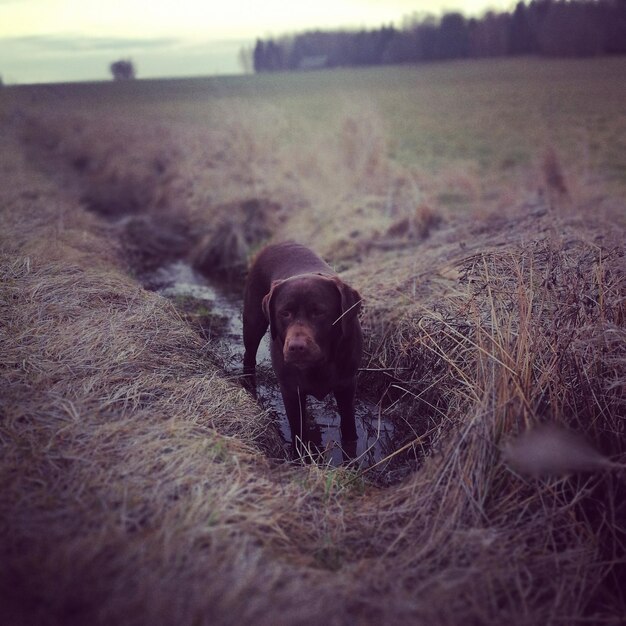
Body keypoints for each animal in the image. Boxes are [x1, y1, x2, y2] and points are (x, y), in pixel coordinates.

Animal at [243, 239, 364, 448]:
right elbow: (298, 431)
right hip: (252, 323)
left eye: (319, 312)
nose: (296, 347)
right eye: (284, 313)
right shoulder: (291, 390)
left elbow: (349, 427)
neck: (321, 363)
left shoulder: (347, 385)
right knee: (248, 357)